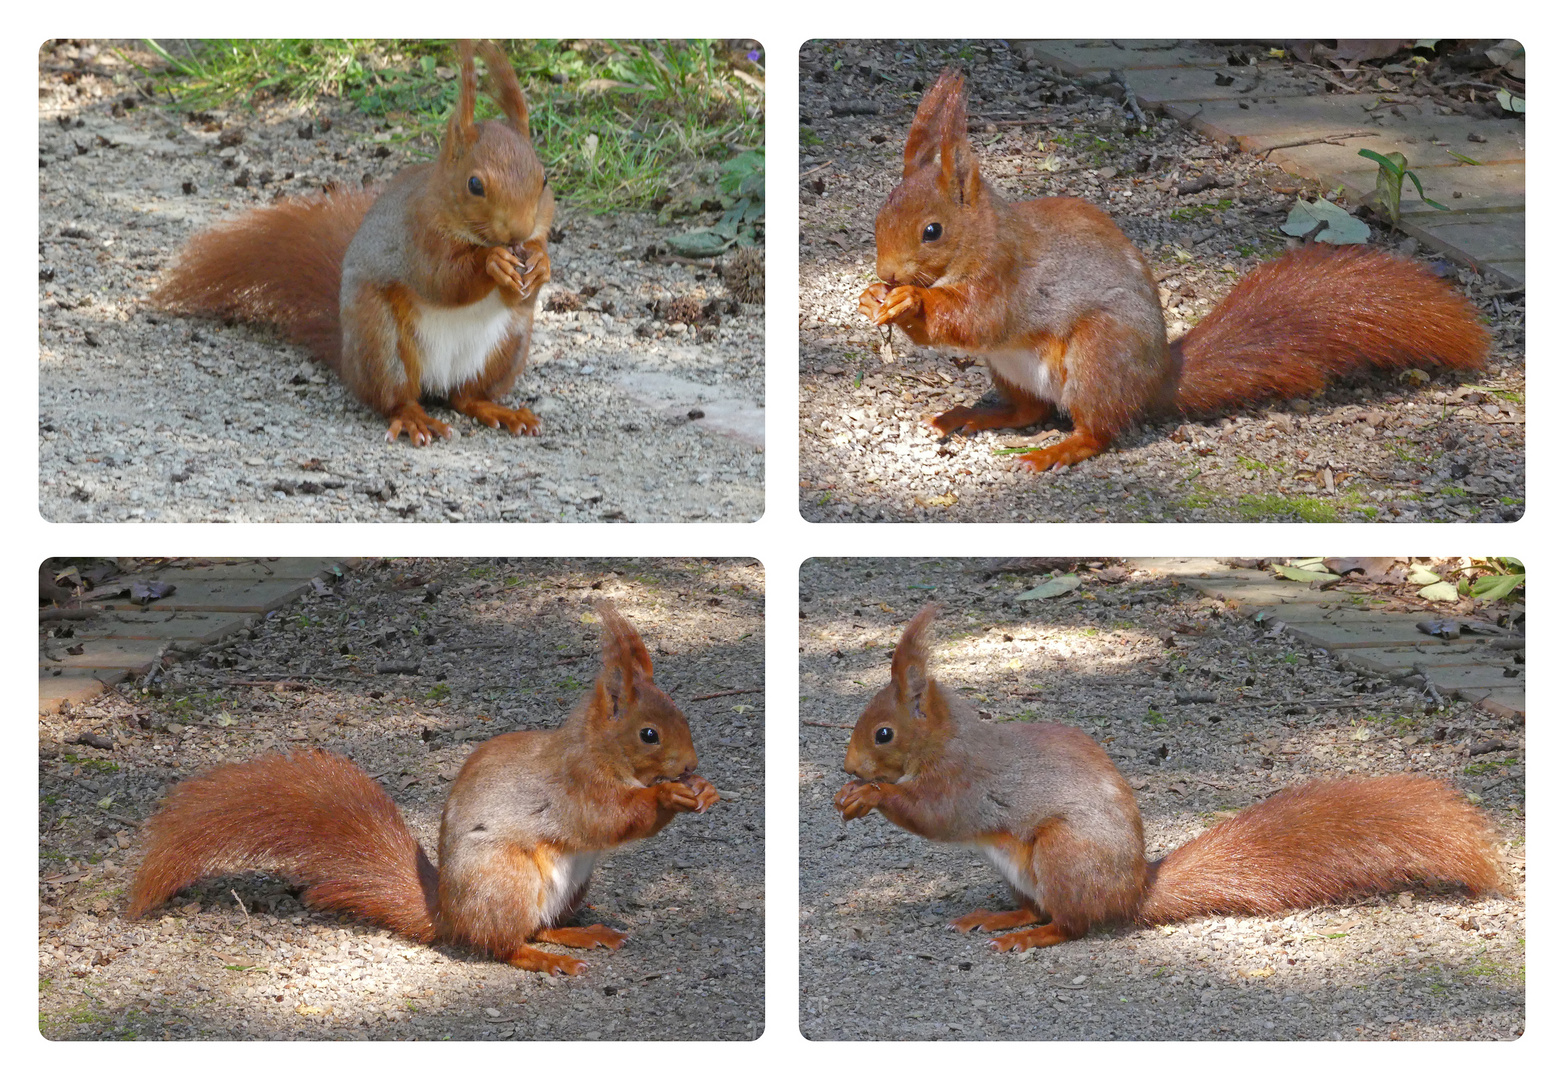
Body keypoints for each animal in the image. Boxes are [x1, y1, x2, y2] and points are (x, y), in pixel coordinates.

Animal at [152, 41, 553, 447]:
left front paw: (540, 265)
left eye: (545, 178)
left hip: (509, 346)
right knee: (395, 397)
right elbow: (443, 280)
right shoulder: (416, 236)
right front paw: (493, 262)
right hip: (380, 339)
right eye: (474, 185)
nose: (519, 231)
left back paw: (499, 410)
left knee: (466, 396)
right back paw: (414, 418)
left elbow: (521, 295)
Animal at [832, 609, 1501, 956]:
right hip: (1023, 871)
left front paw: (870, 796)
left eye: (883, 734)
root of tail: (1131, 894)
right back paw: (998, 918)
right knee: (1037, 907)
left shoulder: (966, 783)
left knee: (1072, 924)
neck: (947, 742)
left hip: (1062, 855)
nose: (848, 767)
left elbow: (935, 815)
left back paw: (1033, 936)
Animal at [857, 69, 1488, 472]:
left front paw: (909, 302)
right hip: (1010, 370)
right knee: (1028, 409)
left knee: (1095, 430)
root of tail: (1157, 380)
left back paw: (1055, 451)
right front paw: (871, 297)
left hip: (1097, 356)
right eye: (880, 213)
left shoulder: (1008, 278)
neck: (981, 238)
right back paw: (971, 415)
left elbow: (975, 318)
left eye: (932, 231)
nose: (887, 271)